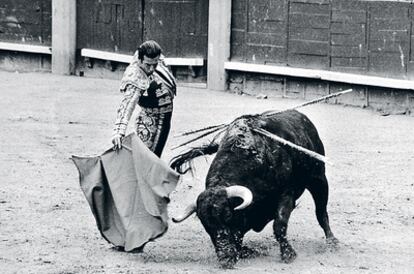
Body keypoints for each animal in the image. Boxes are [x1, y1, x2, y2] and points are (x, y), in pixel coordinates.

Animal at [170, 109, 338, 268]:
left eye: (228, 215)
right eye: (204, 223)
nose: (225, 259)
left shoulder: (286, 194)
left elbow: (279, 225)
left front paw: (288, 254)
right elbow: (239, 238)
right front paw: (248, 251)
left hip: (319, 179)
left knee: (321, 212)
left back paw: (332, 241)